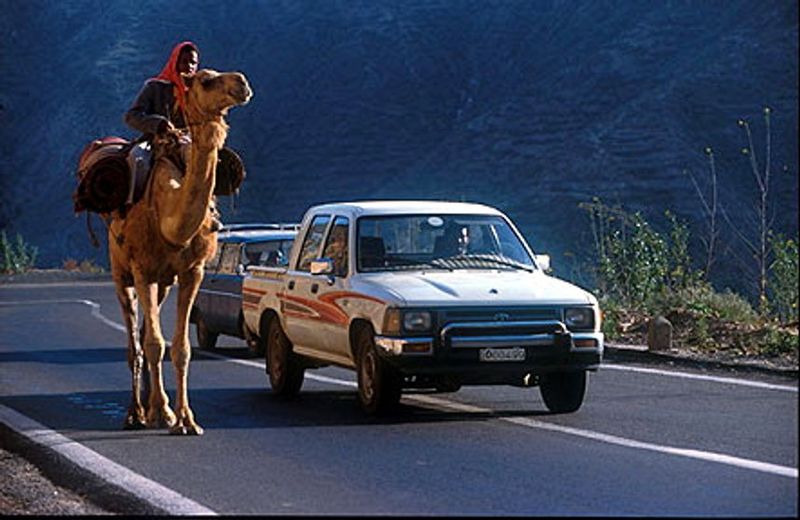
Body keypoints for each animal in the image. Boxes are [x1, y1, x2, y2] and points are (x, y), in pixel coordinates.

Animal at [109, 68, 252, 434]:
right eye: (205, 80)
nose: (242, 83)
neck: (170, 220)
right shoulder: (143, 269)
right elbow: (154, 344)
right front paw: (163, 413)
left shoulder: (191, 272)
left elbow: (181, 347)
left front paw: (185, 419)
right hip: (121, 272)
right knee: (134, 342)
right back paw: (135, 413)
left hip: (163, 283)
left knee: (146, 331)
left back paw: (150, 405)